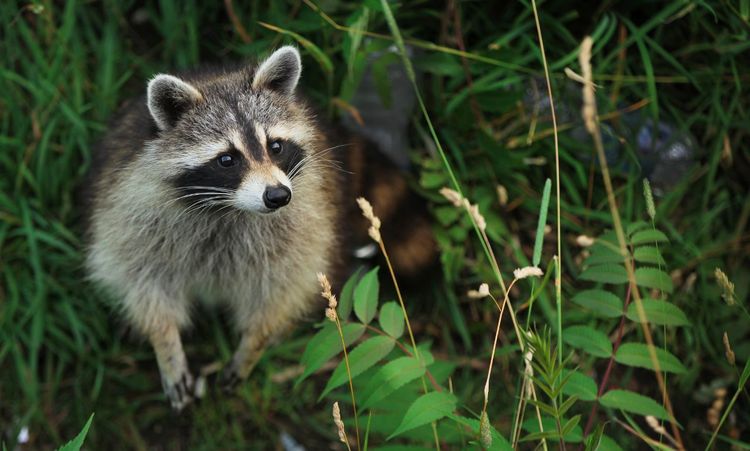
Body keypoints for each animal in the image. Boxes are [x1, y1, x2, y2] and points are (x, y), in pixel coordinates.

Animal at [84, 46, 435, 410]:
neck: (229, 208)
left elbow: (281, 288)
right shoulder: (134, 213)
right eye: (227, 159)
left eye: (275, 146)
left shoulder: (304, 221)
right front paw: (166, 345)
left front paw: (255, 343)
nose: (278, 196)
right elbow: (144, 281)